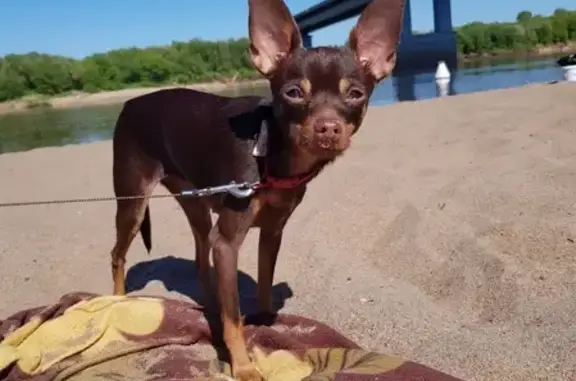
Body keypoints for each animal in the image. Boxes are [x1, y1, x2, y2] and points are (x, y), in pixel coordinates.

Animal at [109, 0, 404, 380]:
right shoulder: (227, 242)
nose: (328, 128)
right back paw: (116, 303)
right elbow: (234, 318)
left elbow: (264, 282)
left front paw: (264, 321)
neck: (270, 154)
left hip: (196, 206)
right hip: (132, 202)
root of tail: (130, 104)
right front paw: (244, 365)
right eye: (293, 93)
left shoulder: (272, 232)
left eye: (355, 94)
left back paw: (207, 305)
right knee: (117, 255)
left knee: (201, 260)